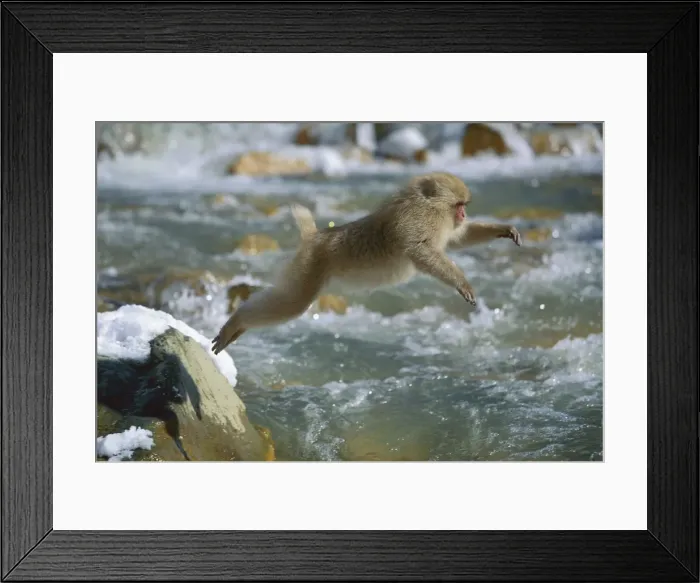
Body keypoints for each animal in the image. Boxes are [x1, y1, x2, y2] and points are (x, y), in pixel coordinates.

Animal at [211, 172, 521, 355]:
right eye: (459, 205)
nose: (463, 215)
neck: (427, 204)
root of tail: (316, 237)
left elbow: (457, 238)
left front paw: (504, 230)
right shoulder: (420, 219)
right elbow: (420, 252)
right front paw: (462, 282)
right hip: (309, 266)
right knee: (293, 303)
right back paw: (236, 322)